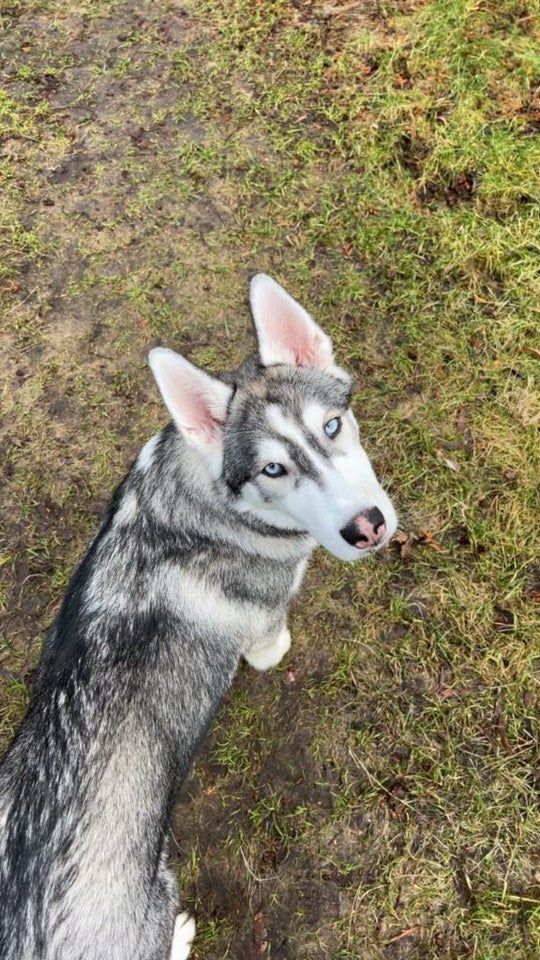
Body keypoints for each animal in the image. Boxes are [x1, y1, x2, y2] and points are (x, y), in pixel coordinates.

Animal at [0, 274, 396, 956]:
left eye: (333, 425)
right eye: (273, 467)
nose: (366, 528)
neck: (207, 496)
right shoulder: (266, 616)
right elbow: (270, 642)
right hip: (154, 900)